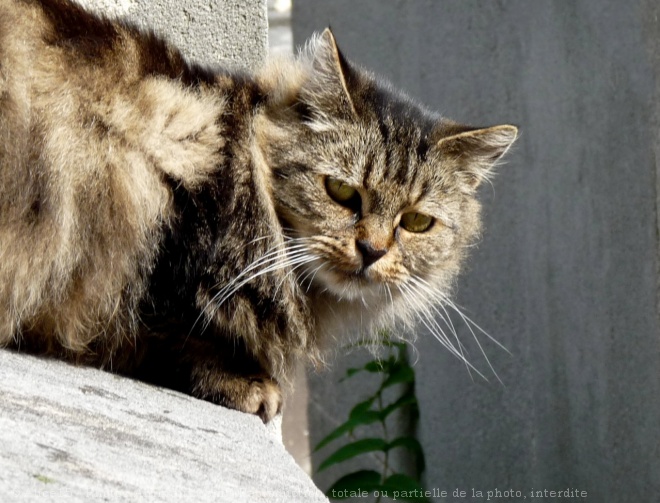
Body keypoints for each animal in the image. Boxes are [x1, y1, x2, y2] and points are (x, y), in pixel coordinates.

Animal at [0, 0, 520, 424]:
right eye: (341, 192)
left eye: (416, 222)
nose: (371, 250)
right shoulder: (157, 219)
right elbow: (168, 328)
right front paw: (246, 383)